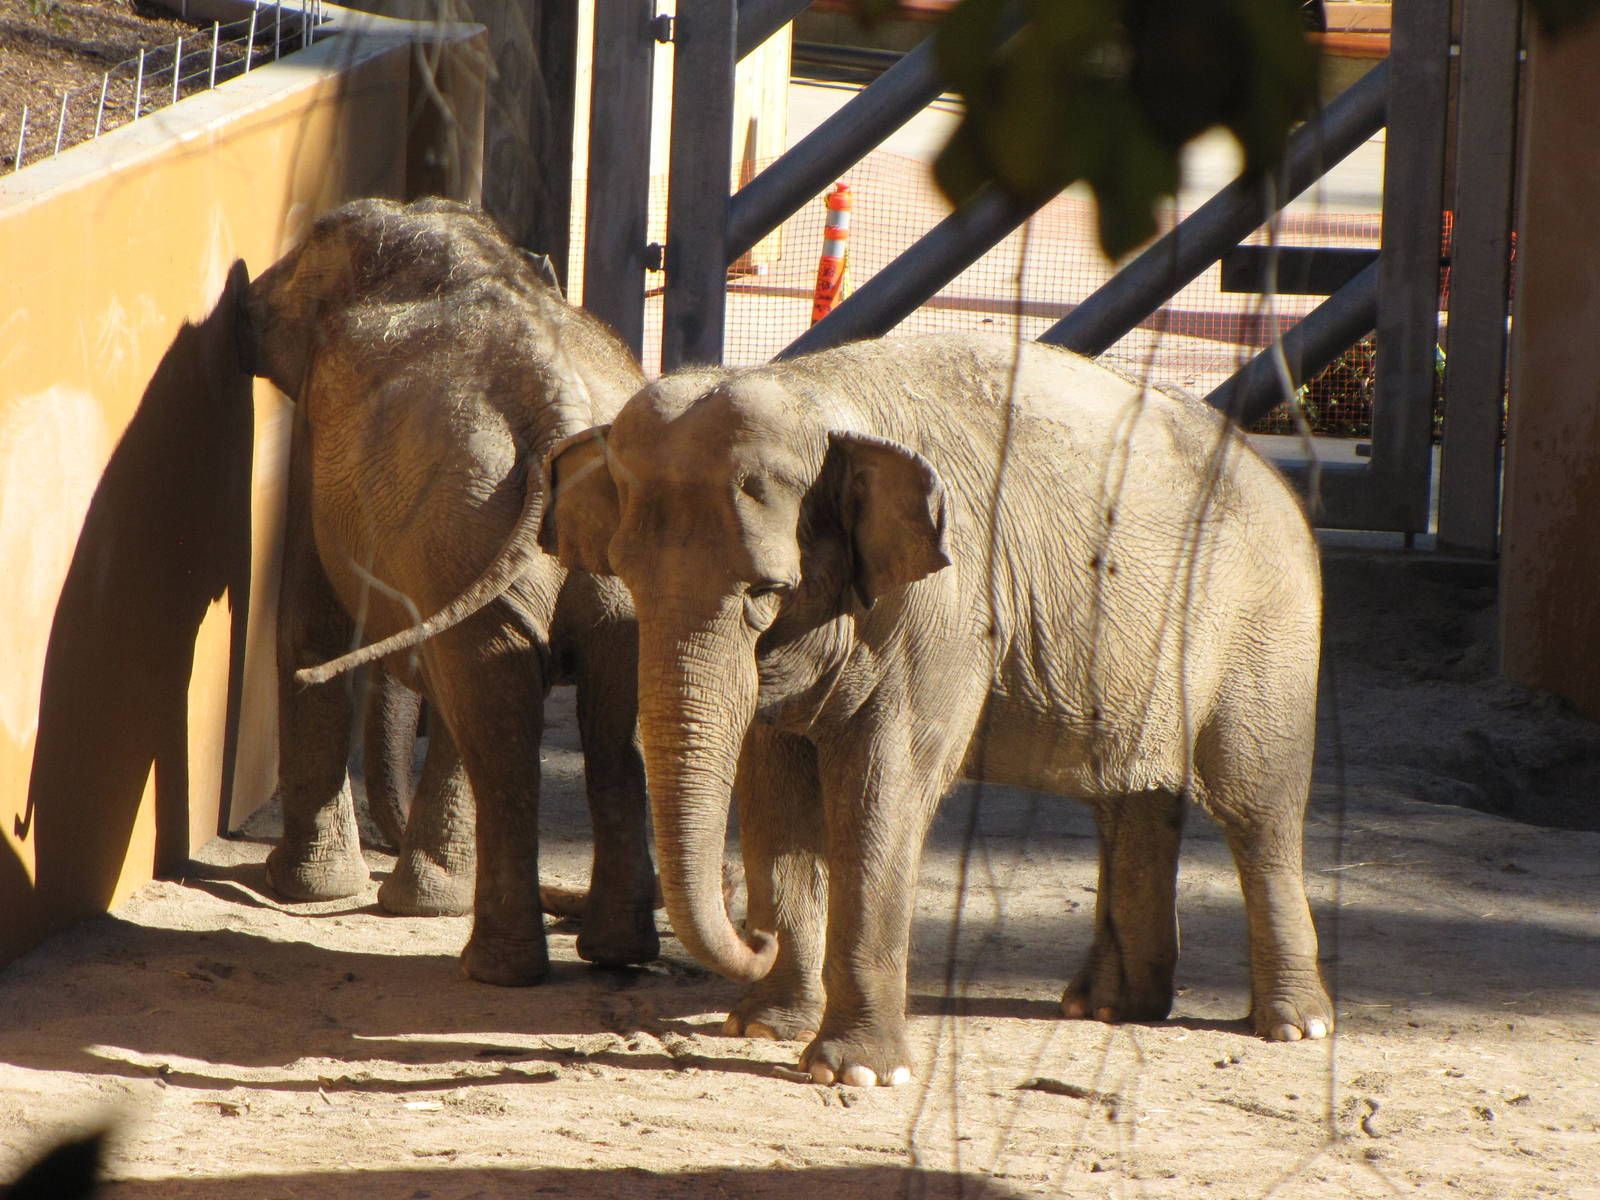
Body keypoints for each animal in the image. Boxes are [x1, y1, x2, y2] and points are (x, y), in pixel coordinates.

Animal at [237, 196, 659, 985]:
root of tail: (559, 405)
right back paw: (613, 956)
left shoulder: (318, 439)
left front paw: (300, 891)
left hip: (460, 531)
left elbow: (310, 628)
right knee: (580, 717)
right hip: (559, 555)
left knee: (491, 710)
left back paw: (491, 968)